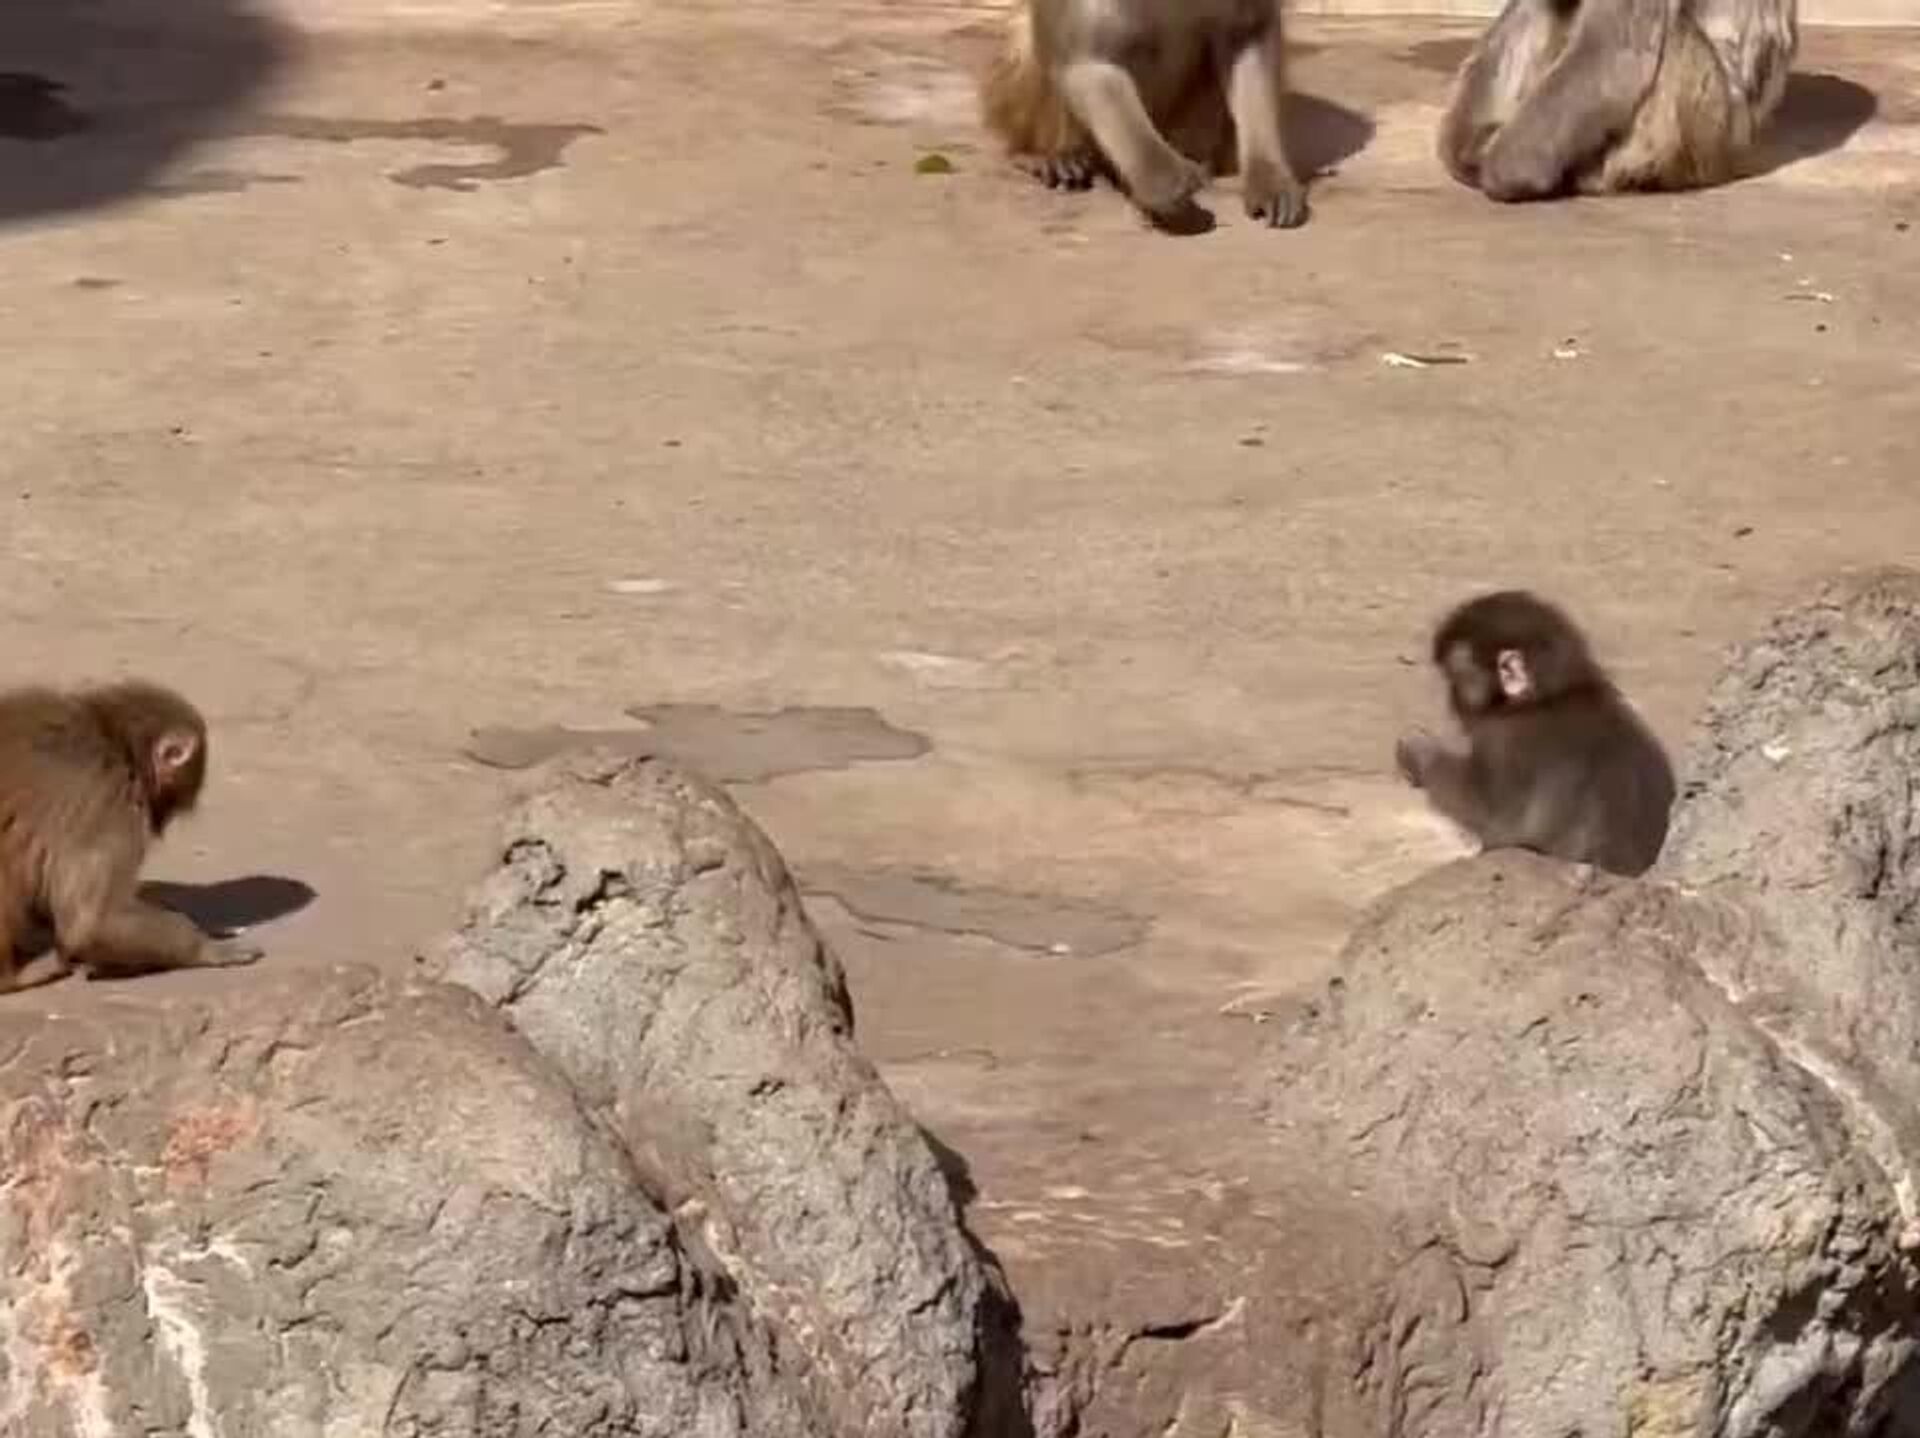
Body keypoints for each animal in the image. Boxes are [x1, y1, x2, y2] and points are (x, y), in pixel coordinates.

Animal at [0, 680, 262, 993]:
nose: (161, 822)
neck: (114, 739)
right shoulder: (107, 797)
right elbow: (93, 922)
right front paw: (206, 947)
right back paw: (14, 976)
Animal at [979, 0, 1308, 230]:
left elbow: (1248, 33)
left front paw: (1270, 180)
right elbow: (1087, 58)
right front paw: (1163, 184)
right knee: (1027, 31)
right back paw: (1046, 155)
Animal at [1395, 591, 1676, 877]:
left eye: (1459, 677)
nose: (1451, 698)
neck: (1550, 697)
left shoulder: (1505, 740)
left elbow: (1497, 823)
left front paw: (1417, 751)